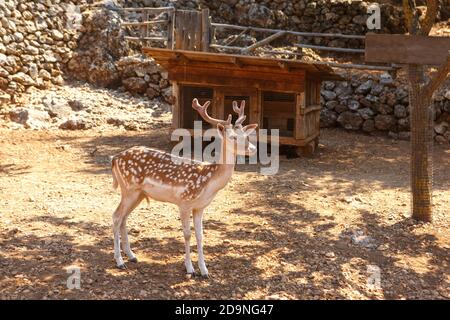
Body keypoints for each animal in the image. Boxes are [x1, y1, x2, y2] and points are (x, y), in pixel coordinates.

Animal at [111, 99, 258, 276]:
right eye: (233, 137)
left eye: (246, 135)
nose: (253, 149)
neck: (208, 183)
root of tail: (114, 158)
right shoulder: (184, 202)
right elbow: (187, 234)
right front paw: (190, 268)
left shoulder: (200, 207)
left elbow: (200, 235)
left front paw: (204, 270)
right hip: (129, 189)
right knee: (116, 216)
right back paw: (119, 261)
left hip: (138, 194)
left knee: (124, 217)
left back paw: (132, 256)